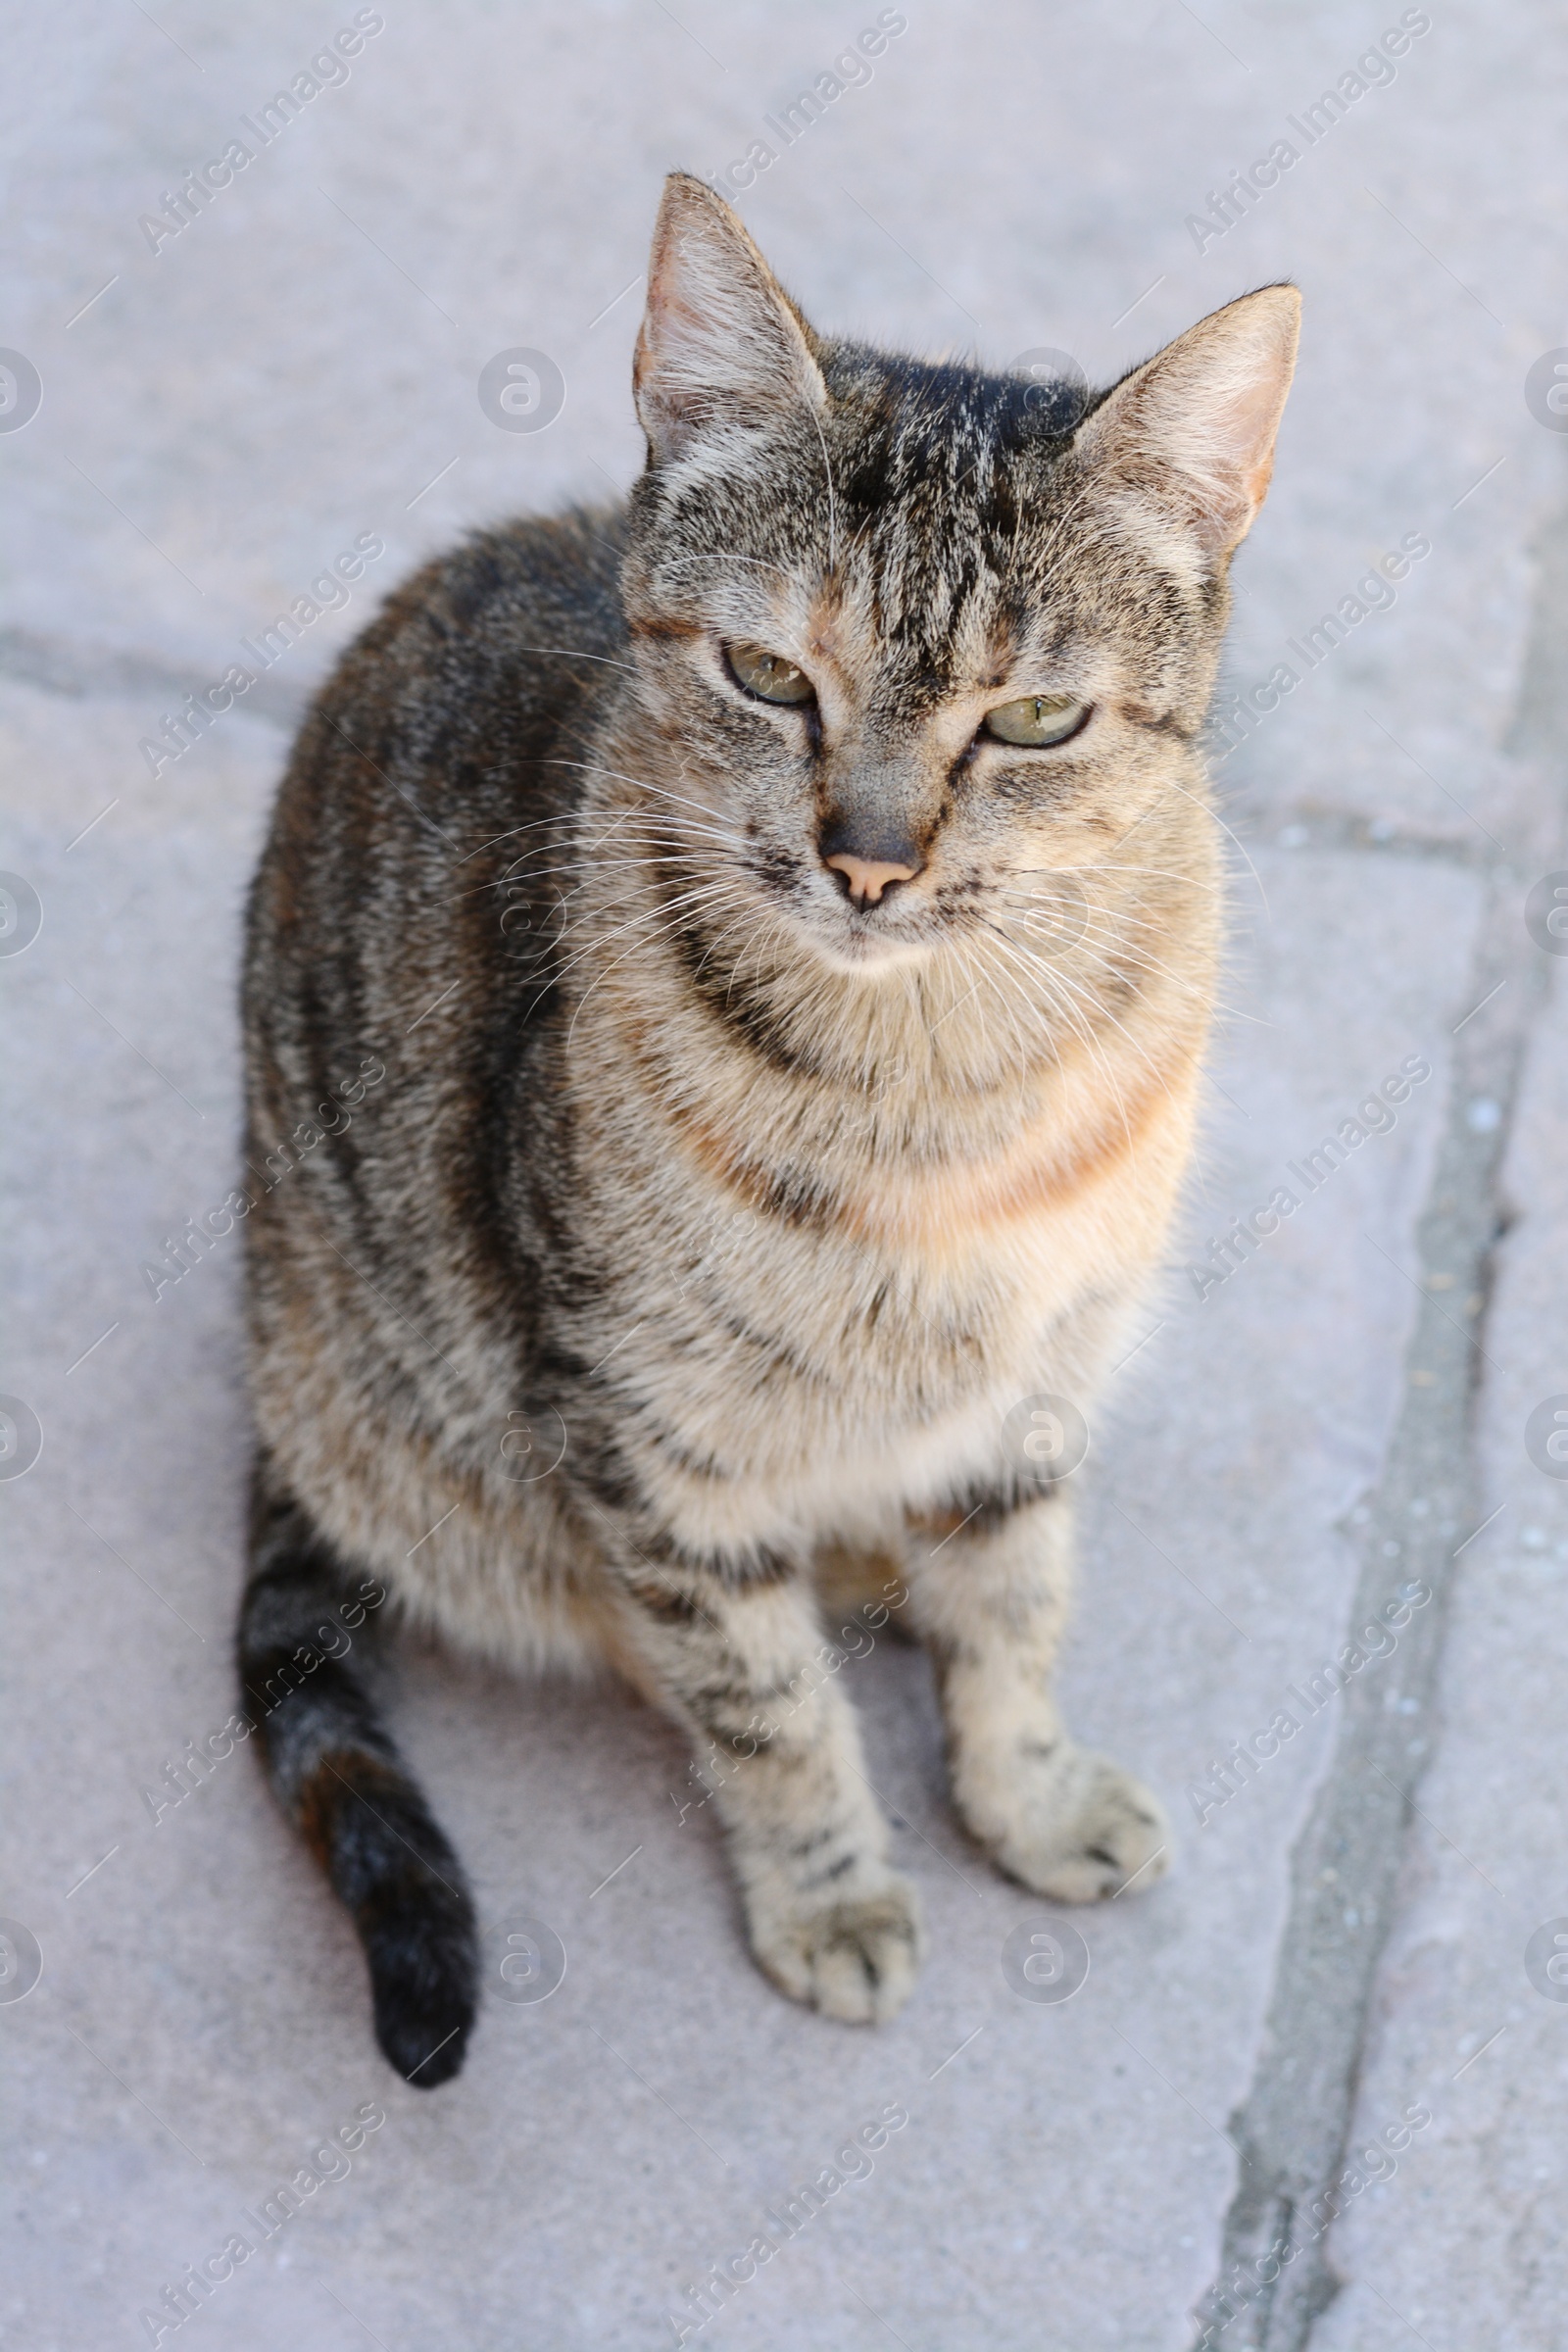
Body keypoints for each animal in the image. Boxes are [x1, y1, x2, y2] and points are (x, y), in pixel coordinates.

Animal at [236, 171, 1298, 2079]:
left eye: (1035, 717)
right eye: (765, 674)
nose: (867, 861)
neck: (942, 1092)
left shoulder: (1038, 1384)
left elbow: (1017, 1609)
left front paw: (1025, 1795)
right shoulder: (647, 1438)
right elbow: (767, 1704)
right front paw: (832, 1894)